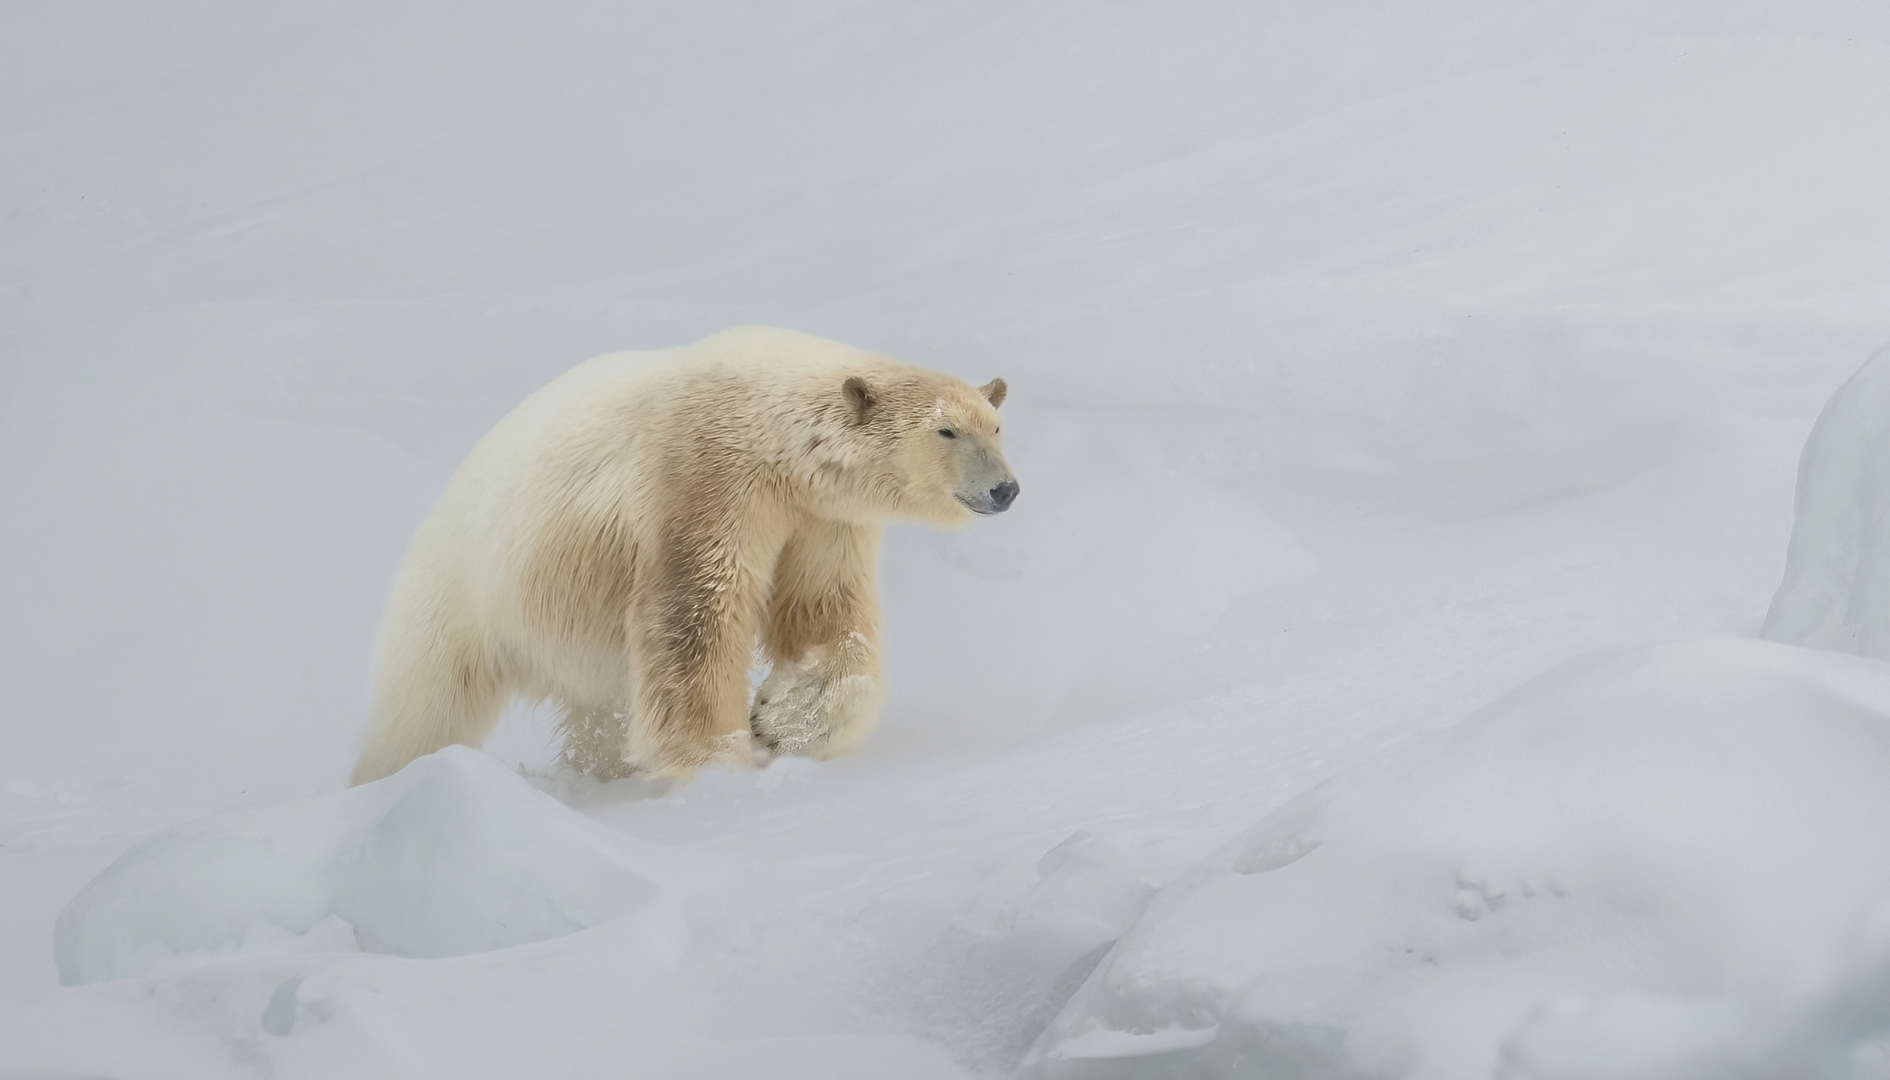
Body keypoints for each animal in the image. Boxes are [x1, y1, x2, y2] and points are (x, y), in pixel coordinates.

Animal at [348, 326, 1018, 786]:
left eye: (995, 425)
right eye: (946, 431)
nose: (1005, 489)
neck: (770, 423)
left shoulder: (822, 517)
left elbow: (822, 613)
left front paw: (783, 720)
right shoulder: (705, 475)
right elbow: (695, 617)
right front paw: (716, 762)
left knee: (597, 713)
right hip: (461, 593)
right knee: (422, 708)